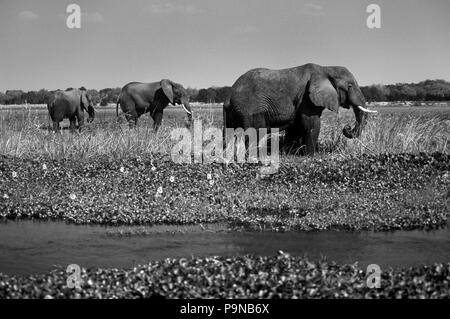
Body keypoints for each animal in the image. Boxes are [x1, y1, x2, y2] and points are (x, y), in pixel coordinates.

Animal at [224, 63, 376, 156]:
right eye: (350, 86)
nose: (347, 127)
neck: (326, 69)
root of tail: (229, 96)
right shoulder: (307, 98)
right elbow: (311, 123)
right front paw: (310, 156)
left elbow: (295, 125)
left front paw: (289, 153)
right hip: (250, 110)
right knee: (254, 133)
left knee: (229, 133)